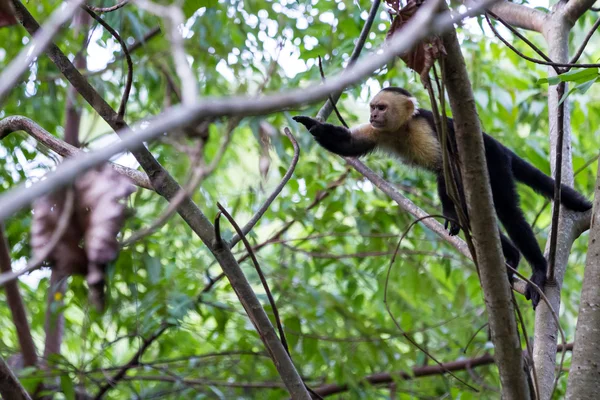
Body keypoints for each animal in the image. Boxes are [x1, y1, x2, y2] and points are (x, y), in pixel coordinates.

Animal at [292, 86, 592, 308]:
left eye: (381, 107)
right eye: (372, 108)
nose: (373, 115)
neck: (402, 128)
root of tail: (495, 144)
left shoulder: (426, 129)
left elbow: (444, 169)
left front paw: (450, 212)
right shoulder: (378, 132)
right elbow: (348, 145)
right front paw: (311, 125)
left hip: (494, 162)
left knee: (507, 210)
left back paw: (537, 269)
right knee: (480, 218)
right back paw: (509, 256)